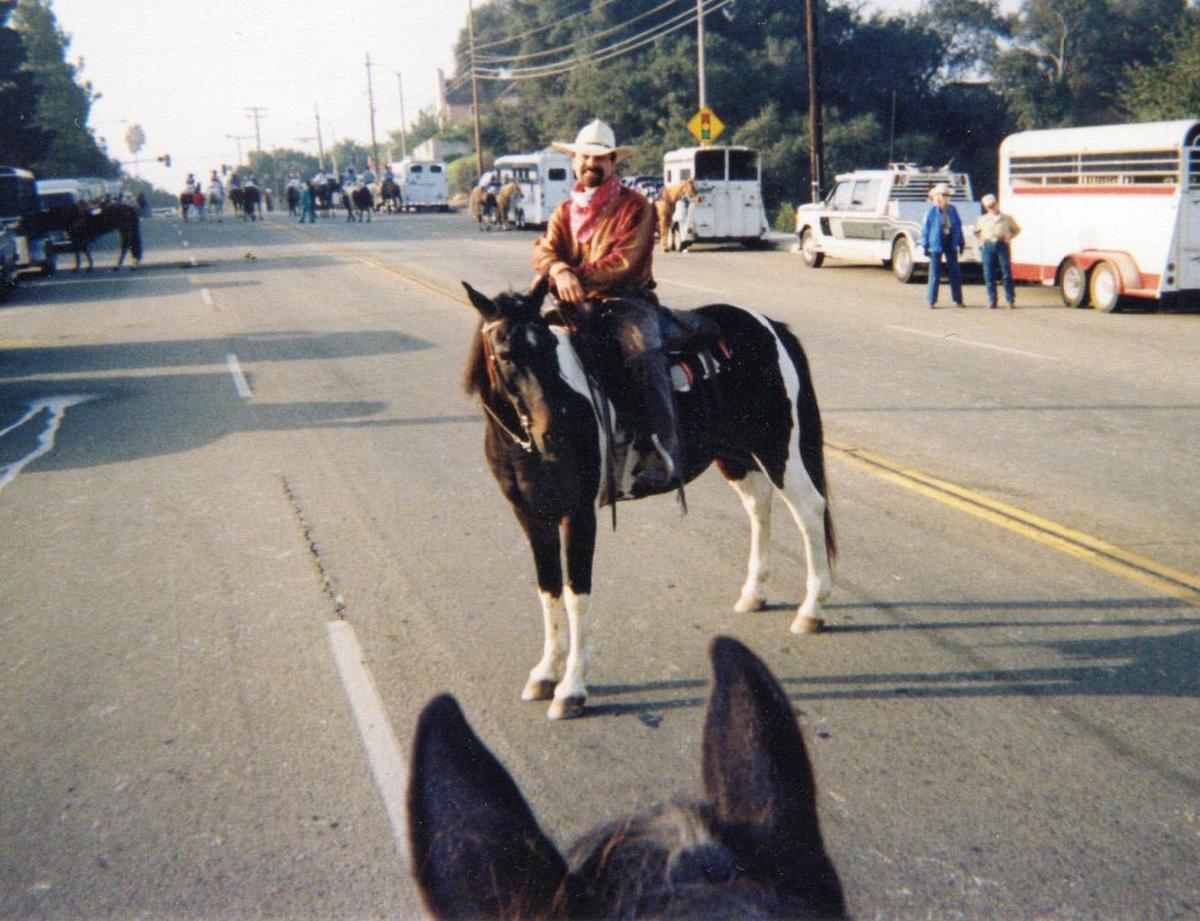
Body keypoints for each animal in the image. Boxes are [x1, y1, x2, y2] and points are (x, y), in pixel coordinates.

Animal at [458, 277, 835, 724]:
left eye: (549, 347)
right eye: (505, 354)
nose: (555, 434)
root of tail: (770, 326)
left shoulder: (579, 514)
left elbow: (576, 594)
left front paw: (571, 688)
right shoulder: (531, 516)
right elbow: (548, 590)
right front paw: (545, 673)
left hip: (778, 449)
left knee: (809, 510)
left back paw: (811, 610)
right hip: (736, 455)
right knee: (760, 507)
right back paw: (754, 593)